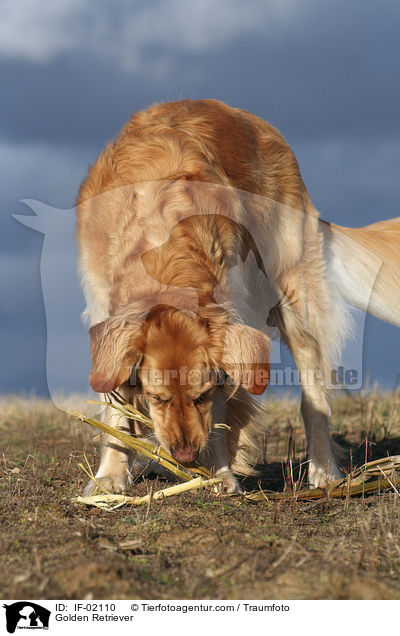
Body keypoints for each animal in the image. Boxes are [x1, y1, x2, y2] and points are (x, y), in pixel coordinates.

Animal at [76, 100, 400, 496]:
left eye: (200, 396)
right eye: (158, 399)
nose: (186, 455)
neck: (162, 250)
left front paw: (221, 474)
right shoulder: (104, 314)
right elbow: (115, 406)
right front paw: (110, 475)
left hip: (294, 293)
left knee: (314, 397)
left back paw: (324, 470)